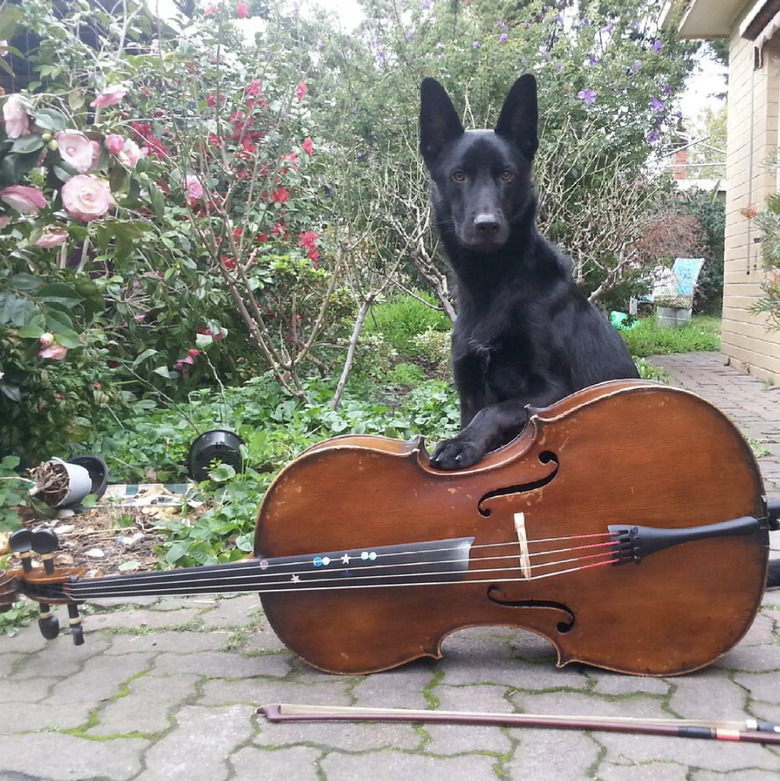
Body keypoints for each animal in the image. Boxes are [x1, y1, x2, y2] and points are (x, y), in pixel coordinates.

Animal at [420, 76, 640, 470]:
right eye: (459, 176)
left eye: (506, 174)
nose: (486, 225)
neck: (493, 284)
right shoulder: (468, 392)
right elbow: (481, 411)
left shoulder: (555, 391)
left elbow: (496, 410)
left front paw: (462, 443)